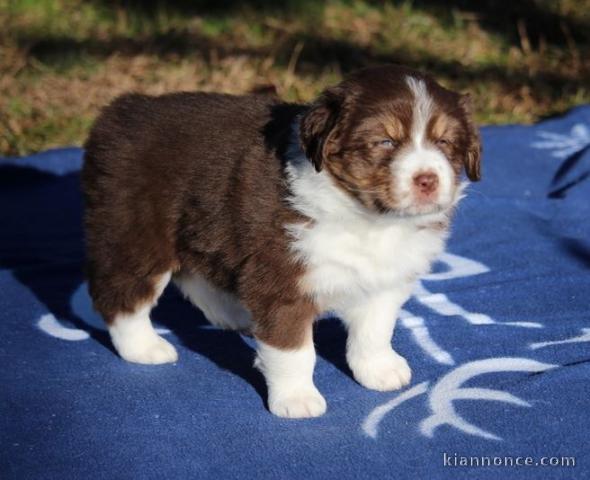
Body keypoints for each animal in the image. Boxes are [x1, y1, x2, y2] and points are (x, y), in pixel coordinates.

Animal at [82, 63, 480, 416]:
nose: (427, 179)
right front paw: (297, 400)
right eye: (385, 141)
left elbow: (375, 330)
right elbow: (295, 352)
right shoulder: (281, 280)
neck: (370, 218)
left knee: (193, 274)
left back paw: (232, 315)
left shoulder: (386, 278)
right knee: (121, 295)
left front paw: (380, 370)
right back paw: (144, 348)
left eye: (445, 141)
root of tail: (122, 111)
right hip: (137, 232)